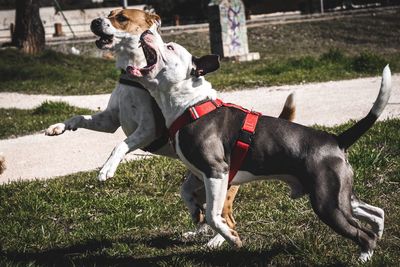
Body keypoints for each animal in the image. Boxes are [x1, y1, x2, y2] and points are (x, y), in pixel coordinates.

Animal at [126, 30, 390, 262]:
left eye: (170, 47)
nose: (146, 31)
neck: (190, 104)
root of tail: (336, 139)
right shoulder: (199, 173)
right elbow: (186, 194)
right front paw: (194, 212)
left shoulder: (216, 171)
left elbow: (213, 215)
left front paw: (231, 237)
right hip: (339, 196)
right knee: (375, 212)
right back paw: (379, 233)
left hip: (327, 204)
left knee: (362, 232)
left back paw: (364, 255)